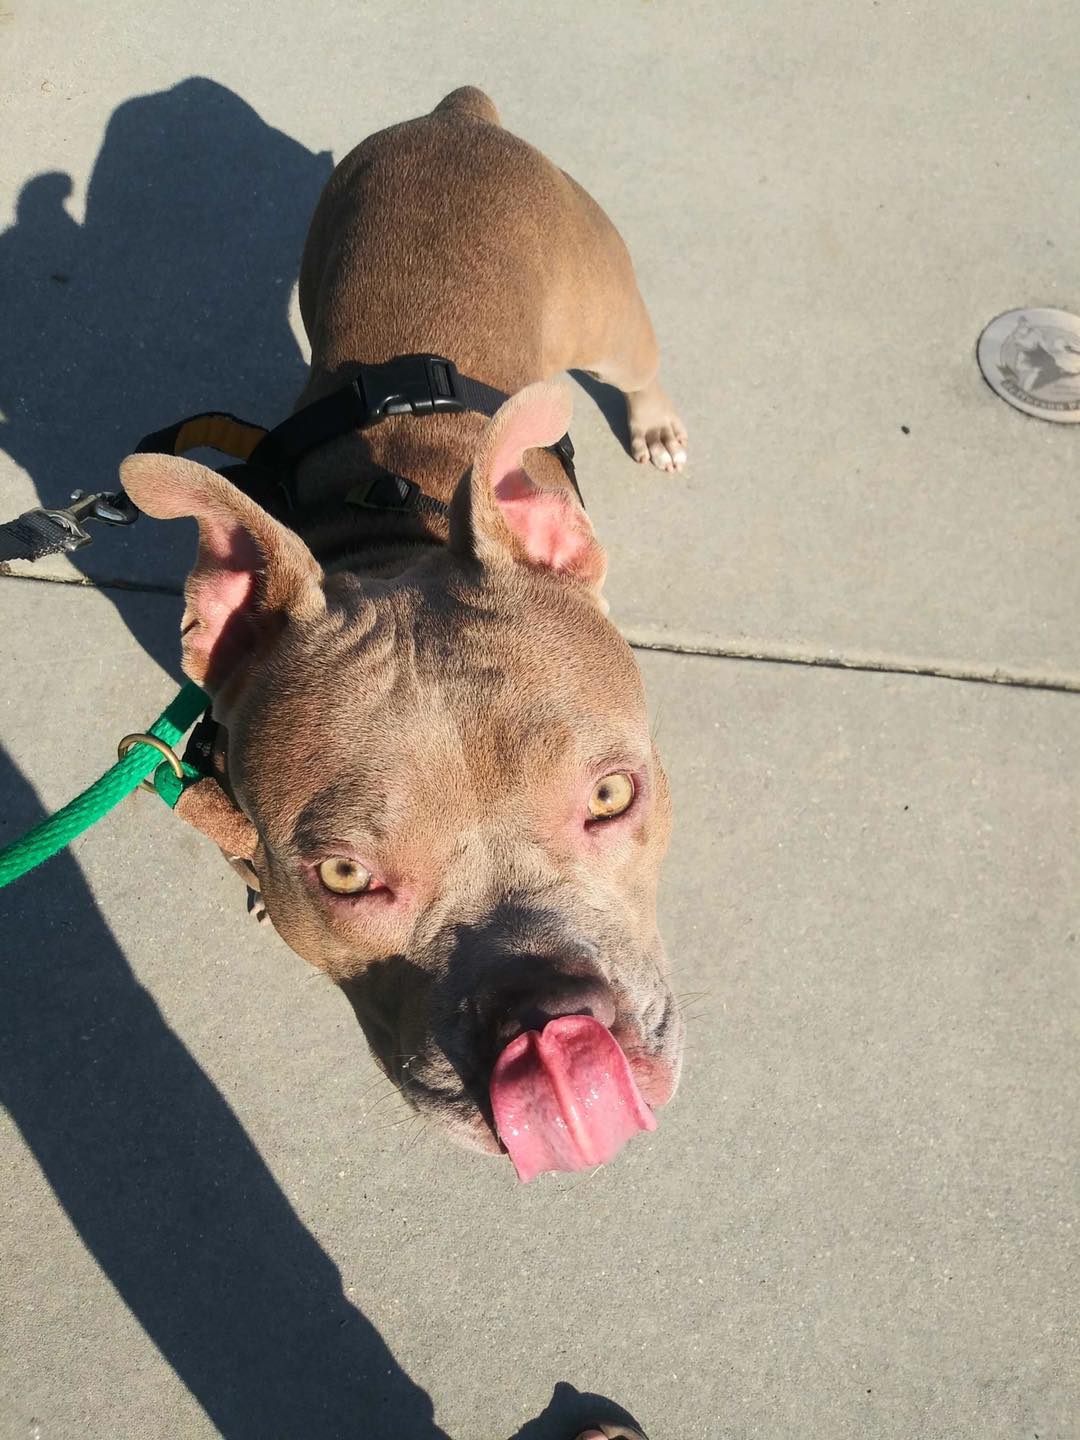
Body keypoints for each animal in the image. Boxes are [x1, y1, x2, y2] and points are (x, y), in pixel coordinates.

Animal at [118, 84, 688, 1175]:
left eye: (612, 796)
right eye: (343, 876)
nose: (544, 1016)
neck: (391, 534)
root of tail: (458, 116)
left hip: (611, 314)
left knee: (641, 365)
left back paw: (657, 425)